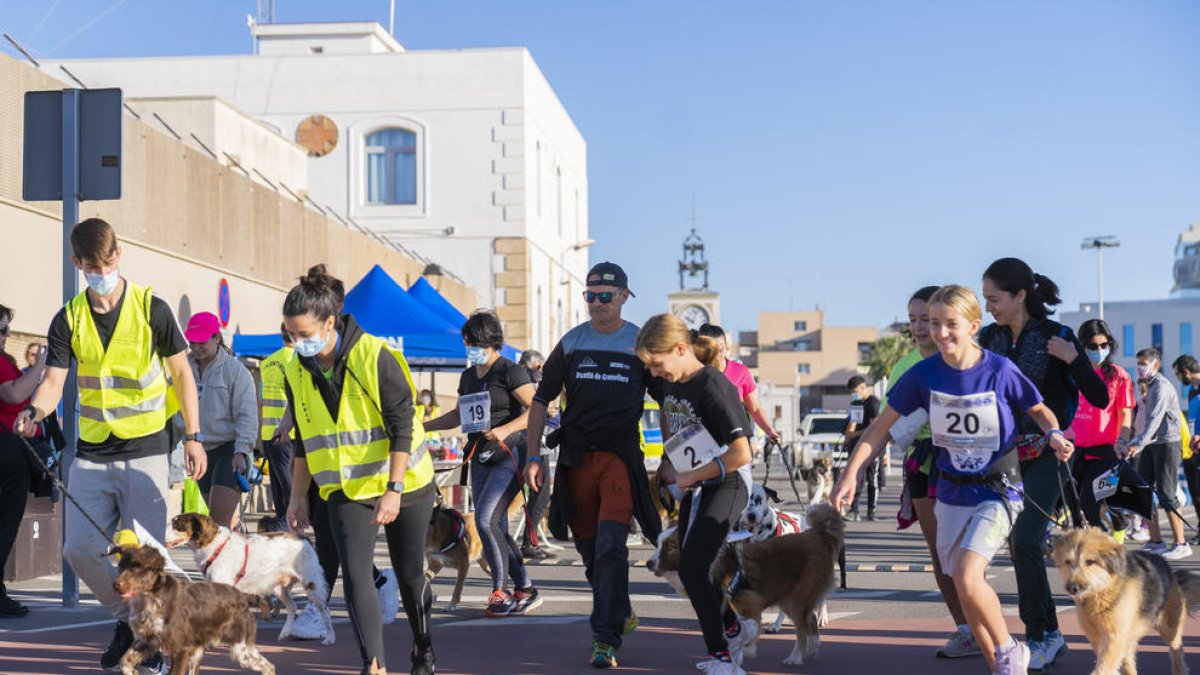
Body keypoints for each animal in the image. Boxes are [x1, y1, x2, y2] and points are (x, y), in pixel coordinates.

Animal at [111, 540, 274, 672]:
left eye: (137, 567)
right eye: (121, 567)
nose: (116, 585)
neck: (151, 597)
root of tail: (244, 596)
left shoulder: (182, 649)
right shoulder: (146, 640)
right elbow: (124, 662)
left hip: (241, 647)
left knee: (269, 666)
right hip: (199, 653)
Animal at [166, 509, 336, 648]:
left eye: (177, 524)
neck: (214, 546)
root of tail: (303, 538)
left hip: (311, 583)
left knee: (325, 611)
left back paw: (329, 638)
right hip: (279, 588)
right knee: (293, 607)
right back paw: (285, 633)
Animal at [710, 499, 844, 662]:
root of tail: (816, 534)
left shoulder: (749, 607)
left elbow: (747, 634)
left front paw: (746, 652)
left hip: (796, 599)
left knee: (802, 629)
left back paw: (795, 657)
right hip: (787, 596)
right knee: (810, 620)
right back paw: (812, 648)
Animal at [1051, 526, 1200, 672]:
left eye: (1090, 562)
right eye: (1067, 562)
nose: (1072, 587)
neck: (1102, 591)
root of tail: (1171, 571)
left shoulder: (1114, 635)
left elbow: (1104, 666)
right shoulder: (1097, 637)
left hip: (1168, 626)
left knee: (1176, 648)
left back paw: (1179, 669)